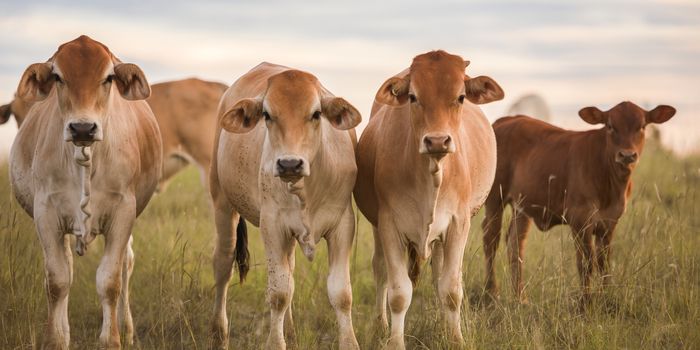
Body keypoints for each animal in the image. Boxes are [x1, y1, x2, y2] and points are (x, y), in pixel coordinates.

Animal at [9, 34, 163, 348]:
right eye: (58, 76)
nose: (82, 128)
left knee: (126, 265)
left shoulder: (123, 213)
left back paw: (126, 329)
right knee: (66, 267)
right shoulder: (46, 213)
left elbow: (110, 281)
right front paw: (55, 339)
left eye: (108, 78)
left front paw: (112, 339)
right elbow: (57, 280)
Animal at [208, 63, 360, 350]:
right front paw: (275, 342)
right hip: (222, 203)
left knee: (288, 271)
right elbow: (278, 293)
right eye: (267, 114)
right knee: (223, 266)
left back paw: (289, 331)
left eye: (316, 113)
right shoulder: (272, 226)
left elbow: (341, 293)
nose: (289, 163)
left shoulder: (343, 225)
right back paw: (219, 335)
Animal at [356, 49, 504, 348]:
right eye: (413, 96)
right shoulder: (389, 224)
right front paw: (395, 341)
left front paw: (455, 338)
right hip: (379, 228)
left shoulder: (459, 223)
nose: (437, 141)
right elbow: (399, 293)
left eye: (461, 96)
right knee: (380, 270)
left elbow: (451, 290)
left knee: (440, 276)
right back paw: (380, 325)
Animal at [484, 101, 676, 306]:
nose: (627, 155)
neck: (611, 185)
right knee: (491, 240)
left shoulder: (609, 222)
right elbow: (585, 263)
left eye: (642, 126)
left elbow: (604, 263)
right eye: (610, 126)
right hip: (494, 197)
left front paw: (605, 297)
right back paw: (491, 292)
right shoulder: (580, 219)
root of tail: (506, 120)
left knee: (515, 244)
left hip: (522, 205)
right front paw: (585, 302)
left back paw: (520, 298)